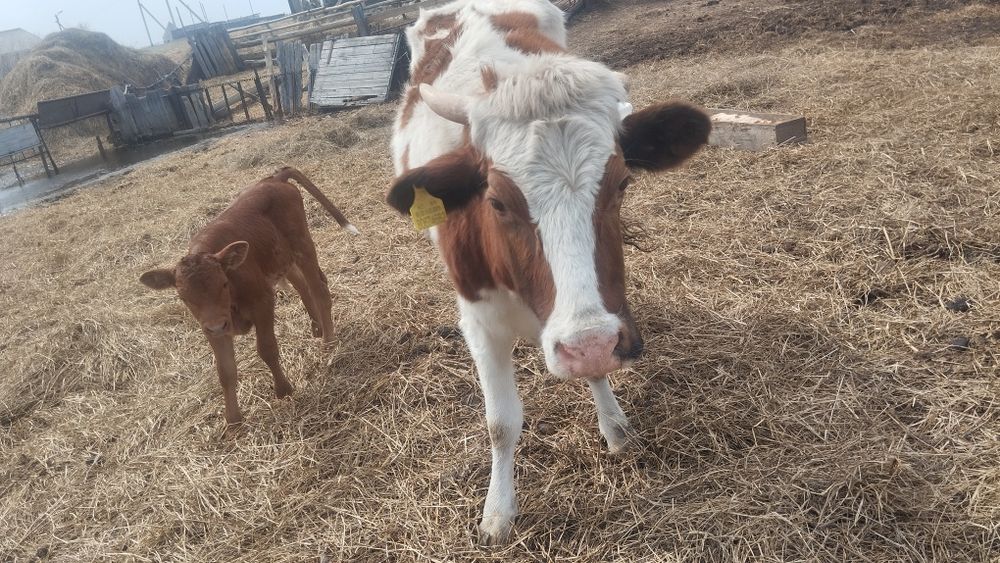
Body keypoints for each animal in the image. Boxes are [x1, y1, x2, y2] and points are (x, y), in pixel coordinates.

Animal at [140, 167, 357, 429]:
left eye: (224, 283)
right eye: (183, 297)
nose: (217, 325)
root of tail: (274, 178)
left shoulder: (262, 301)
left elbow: (266, 348)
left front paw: (283, 389)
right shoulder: (211, 327)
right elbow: (225, 371)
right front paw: (233, 420)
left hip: (302, 245)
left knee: (318, 288)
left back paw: (328, 341)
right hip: (280, 258)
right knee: (302, 285)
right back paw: (317, 328)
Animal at [387, 0, 711, 544]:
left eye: (622, 182)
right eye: (496, 201)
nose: (590, 341)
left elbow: (596, 371)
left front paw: (614, 426)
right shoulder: (478, 321)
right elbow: (500, 423)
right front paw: (498, 511)